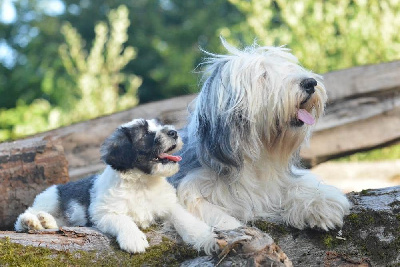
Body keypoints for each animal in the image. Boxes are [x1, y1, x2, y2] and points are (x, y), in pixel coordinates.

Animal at [14, 120, 216, 255]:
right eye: (145, 134)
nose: (173, 132)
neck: (142, 183)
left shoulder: (168, 204)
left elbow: (183, 217)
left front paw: (202, 236)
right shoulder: (103, 212)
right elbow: (122, 219)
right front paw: (134, 239)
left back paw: (46, 222)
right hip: (49, 198)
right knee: (22, 217)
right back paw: (31, 222)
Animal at [169, 39, 350, 232]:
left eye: (289, 68)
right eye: (264, 75)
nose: (310, 83)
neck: (256, 158)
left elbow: (300, 185)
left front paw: (321, 205)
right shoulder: (189, 185)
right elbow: (200, 207)